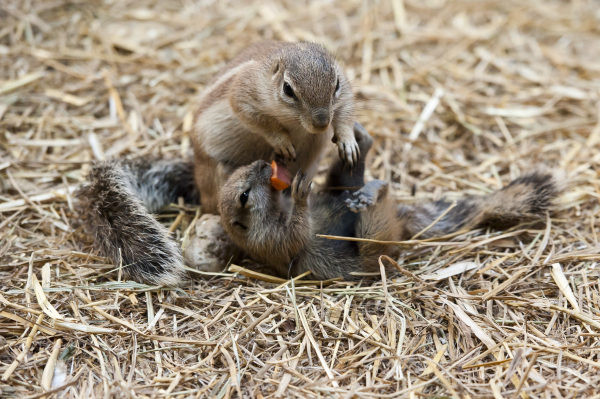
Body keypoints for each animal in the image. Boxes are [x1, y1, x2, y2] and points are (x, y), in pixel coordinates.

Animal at [218, 126, 560, 282]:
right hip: (373, 243)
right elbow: (296, 233)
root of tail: (402, 217)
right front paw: (300, 191)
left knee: (346, 176)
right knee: (374, 221)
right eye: (244, 196)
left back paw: (362, 143)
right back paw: (376, 192)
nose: (264, 164)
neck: (277, 207)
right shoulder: (274, 240)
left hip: (341, 188)